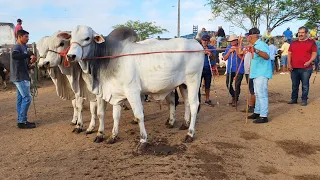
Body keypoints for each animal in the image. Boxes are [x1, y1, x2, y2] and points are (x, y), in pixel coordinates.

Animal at [61, 25, 204, 152]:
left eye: (87, 38)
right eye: (71, 37)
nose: (71, 56)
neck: (108, 56)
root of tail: (195, 42)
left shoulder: (132, 91)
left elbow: (139, 115)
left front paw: (143, 141)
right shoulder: (112, 93)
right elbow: (110, 115)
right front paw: (108, 136)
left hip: (193, 80)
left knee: (194, 105)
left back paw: (190, 134)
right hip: (183, 85)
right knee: (186, 103)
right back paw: (184, 124)